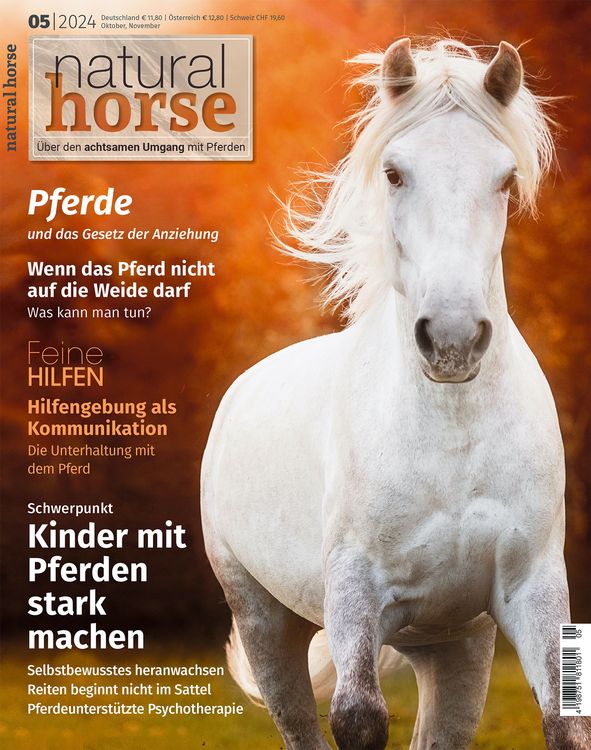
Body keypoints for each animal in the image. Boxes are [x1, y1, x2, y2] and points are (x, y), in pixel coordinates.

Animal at [201, 37, 590, 749]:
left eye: (504, 179)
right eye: (394, 173)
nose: (453, 338)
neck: (453, 435)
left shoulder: (532, 589)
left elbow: (565, 725)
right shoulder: (356, 593)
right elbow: (358, 719)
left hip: (455, 648)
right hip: (266, 623)